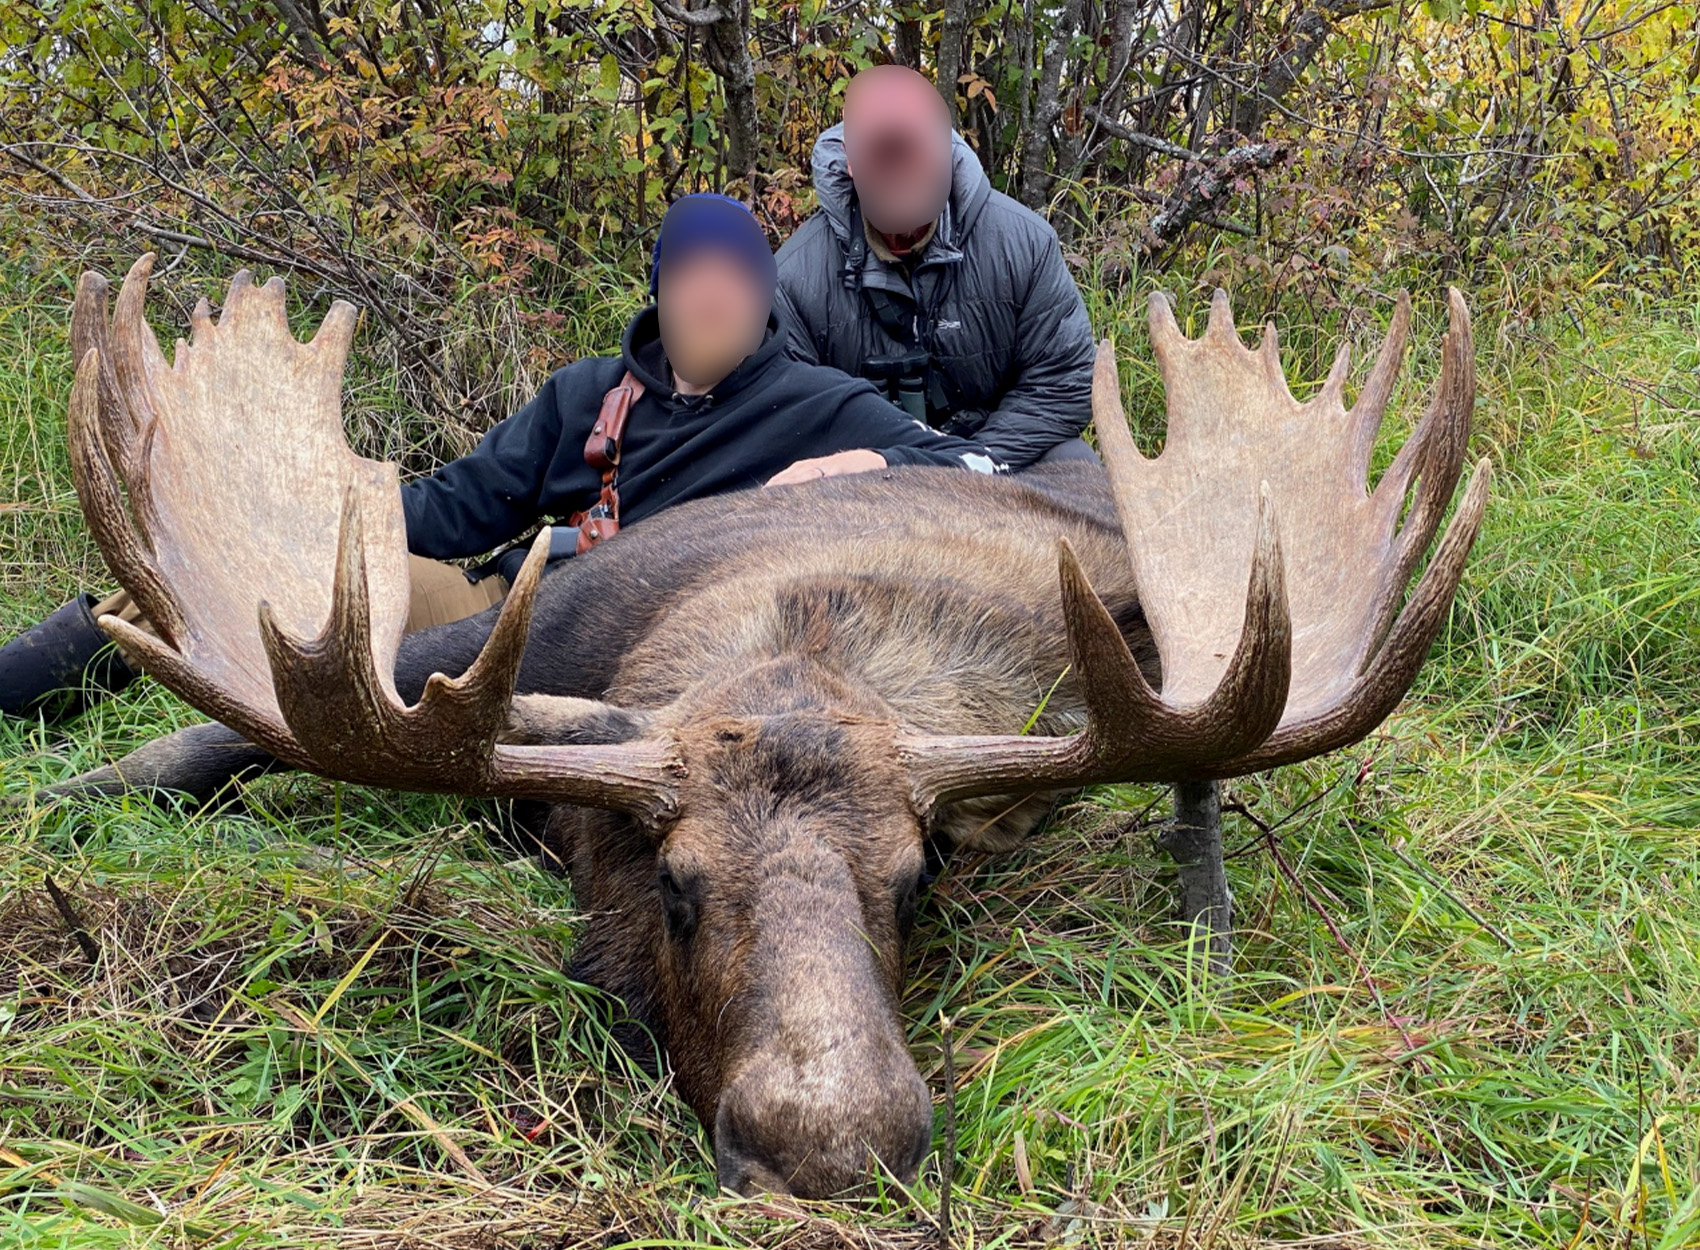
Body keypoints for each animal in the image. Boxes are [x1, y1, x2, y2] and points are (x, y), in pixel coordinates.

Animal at [42, 256, 1489, 1198]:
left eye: (919, 878)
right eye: (673, 881)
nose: (830, 1142)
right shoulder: (509, 630)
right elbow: (218, 736)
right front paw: (72, 792)